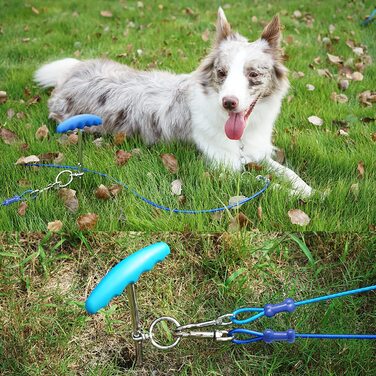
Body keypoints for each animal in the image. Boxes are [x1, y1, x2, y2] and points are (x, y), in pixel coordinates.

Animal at [34, 8, 312, 197]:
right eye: (221, 72)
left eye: (253, 74)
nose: (228, 103)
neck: (241, 137)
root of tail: (70, 74)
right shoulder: (224, 170)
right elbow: (267, 184)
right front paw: (302, 196)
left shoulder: (257, 152)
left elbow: (289, 173)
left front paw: (310, 189)